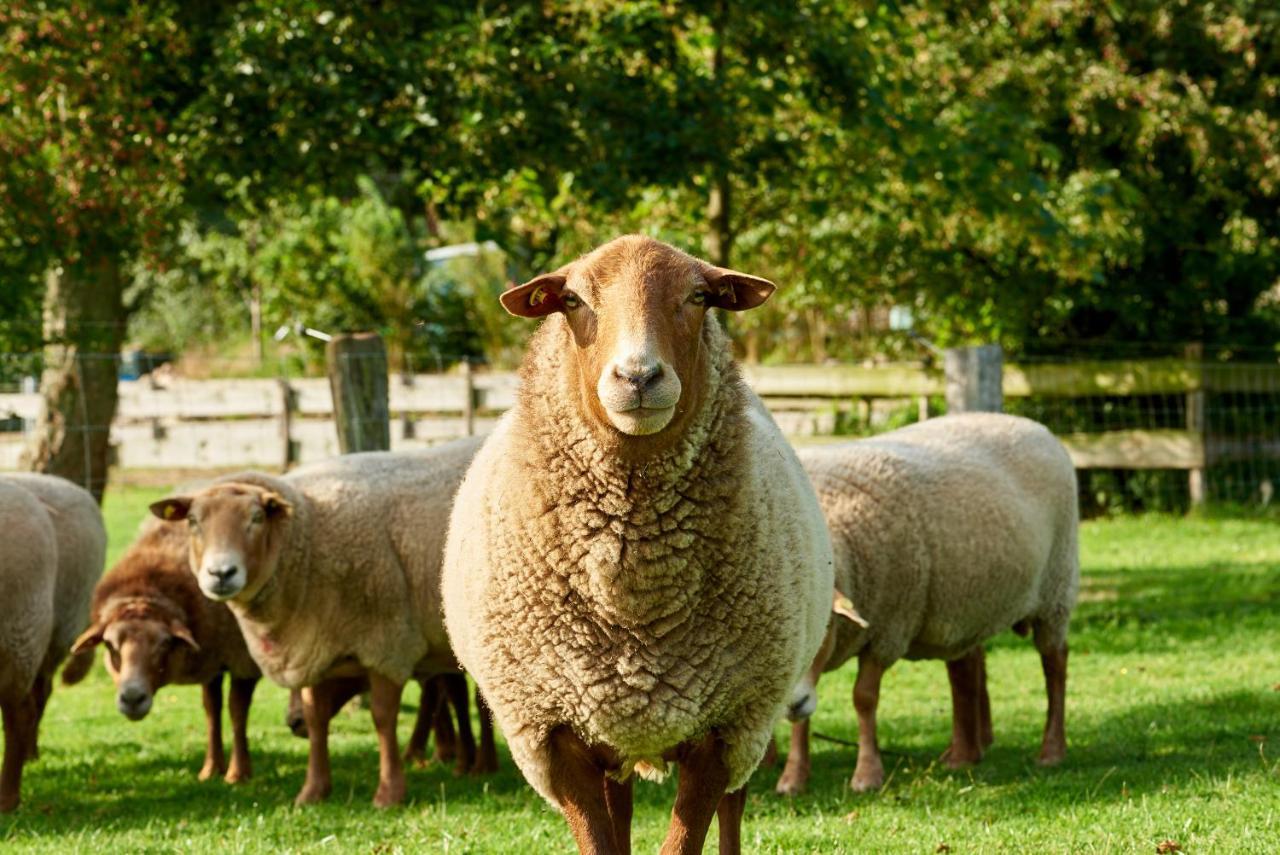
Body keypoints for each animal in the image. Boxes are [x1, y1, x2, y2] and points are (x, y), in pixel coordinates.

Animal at [67, 517, 264, 783]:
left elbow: (237, 710)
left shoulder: (243, 658)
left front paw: (238, 773)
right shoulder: (212, 657)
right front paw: (211, 768)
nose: (132, 699)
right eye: (109, 645)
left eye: (163, 643)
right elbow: (211, 708)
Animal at [149, 440, 486, 808]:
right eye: (193, 521)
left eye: (256, 518)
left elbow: (383, 717)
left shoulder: (387, 641)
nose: (221, 573)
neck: (310, 527)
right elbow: (316, 718)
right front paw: (312, 792)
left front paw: (389, 793)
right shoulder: (314, 646)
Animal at [445, 234, 834, 855]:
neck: (631, 588)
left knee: (734, 808)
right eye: (572, 300)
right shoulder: (555, 734)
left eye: (699, 297)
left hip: (751, 721)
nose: (639, 376)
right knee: (621, 808)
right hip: (612, 728)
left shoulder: (725, 730)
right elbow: (601, 839)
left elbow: (689, 836)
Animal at [773, 414, 1085, 793]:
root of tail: (1033, 426)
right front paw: (793, 778)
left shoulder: (889, 628)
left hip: (1055, 591)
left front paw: (867, 775)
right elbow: (802, 719)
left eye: (823, 626)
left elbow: (864, 698)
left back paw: (1051, 750)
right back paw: (966, 752)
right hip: (968, 599)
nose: (793, 702)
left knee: (1055, 663)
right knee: (968, 664)